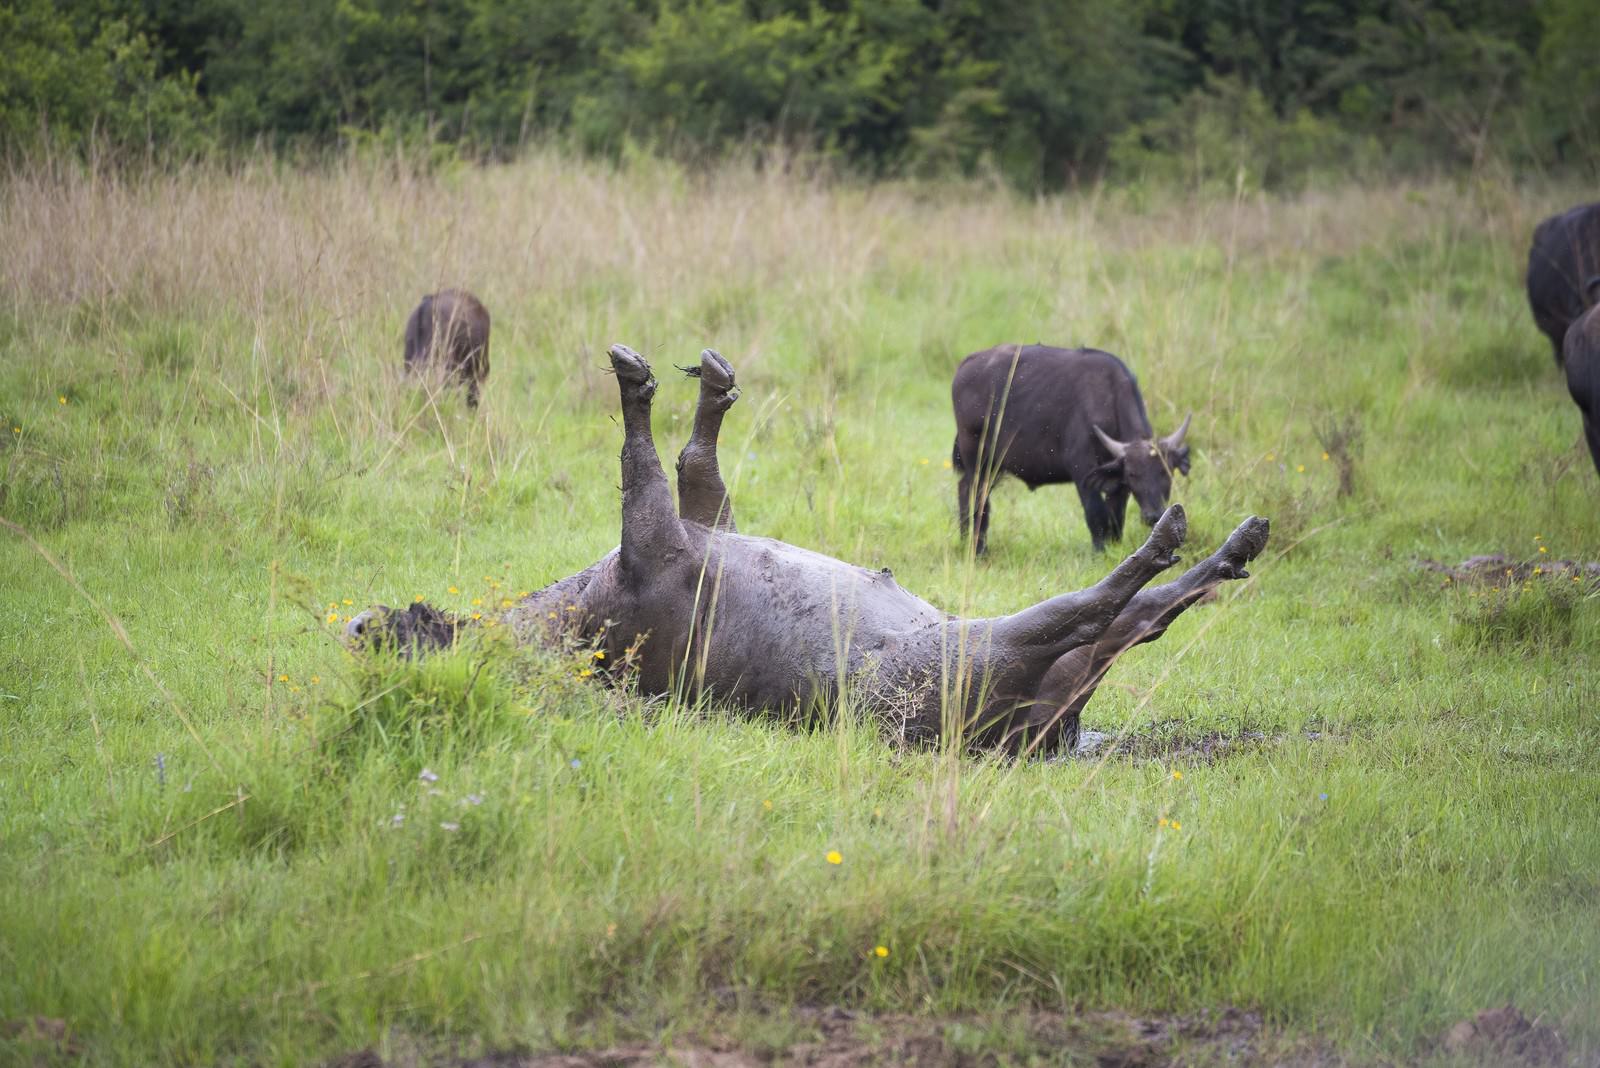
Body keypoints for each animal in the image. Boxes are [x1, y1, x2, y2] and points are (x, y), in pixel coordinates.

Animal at [947, 346, 1190, 556]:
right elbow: (1096, 513)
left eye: (1166, 473)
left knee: (965, 489)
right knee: (975, 495)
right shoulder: (1083, 472)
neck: (1106, 400)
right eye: (1133, 474)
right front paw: (1099, 551)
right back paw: (978, 549)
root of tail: (965, 365)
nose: (1153, 515)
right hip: (977, 460)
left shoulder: (1117, 483)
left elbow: (1116, 516)